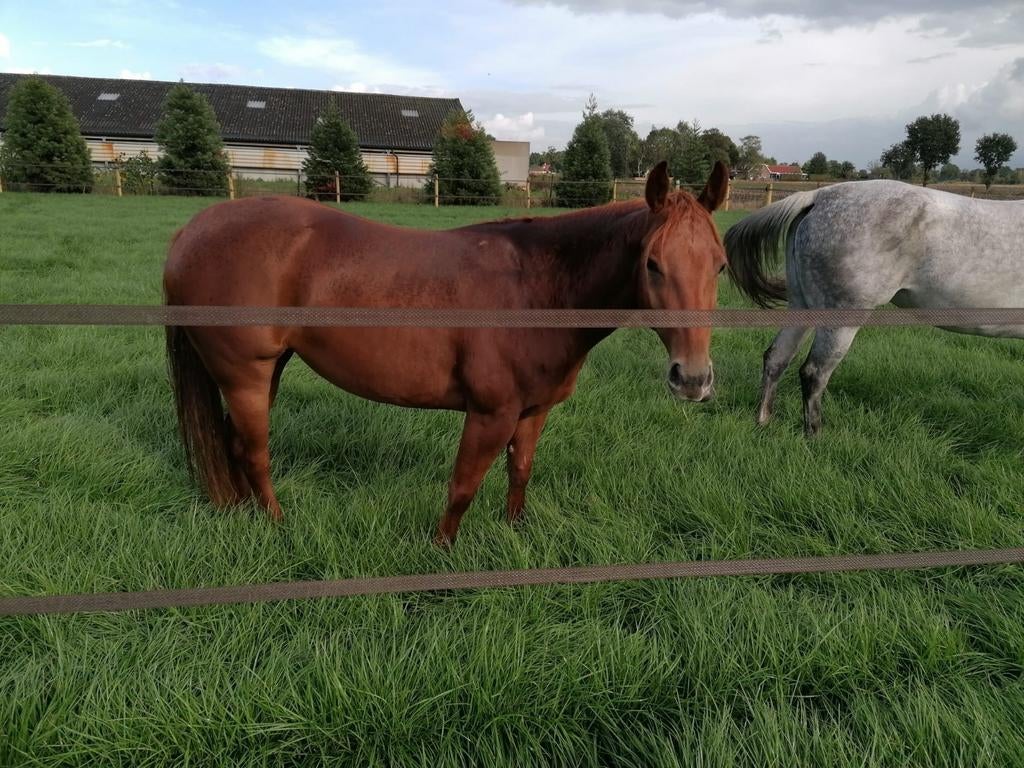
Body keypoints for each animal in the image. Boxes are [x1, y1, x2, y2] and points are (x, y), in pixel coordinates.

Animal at [163, 160, 730, 546]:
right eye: (653, 263)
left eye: (721, 266)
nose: (693, 379)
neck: (537, 285)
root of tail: (191, 231)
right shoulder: (489, 413)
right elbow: (463, 486)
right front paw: (442, 552)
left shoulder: (533, 411)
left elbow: (520, 471)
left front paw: (515, 532)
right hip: (246, 376)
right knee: (253, 452)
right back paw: (277, 524)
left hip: (270, 371)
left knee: (234, 445)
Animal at [725, 179, 1024, 437]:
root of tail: (818, 196)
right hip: (841, 319)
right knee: (814, 373)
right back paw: (815, 437)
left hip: (802, 305)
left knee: (776, 357)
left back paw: (763, 422)